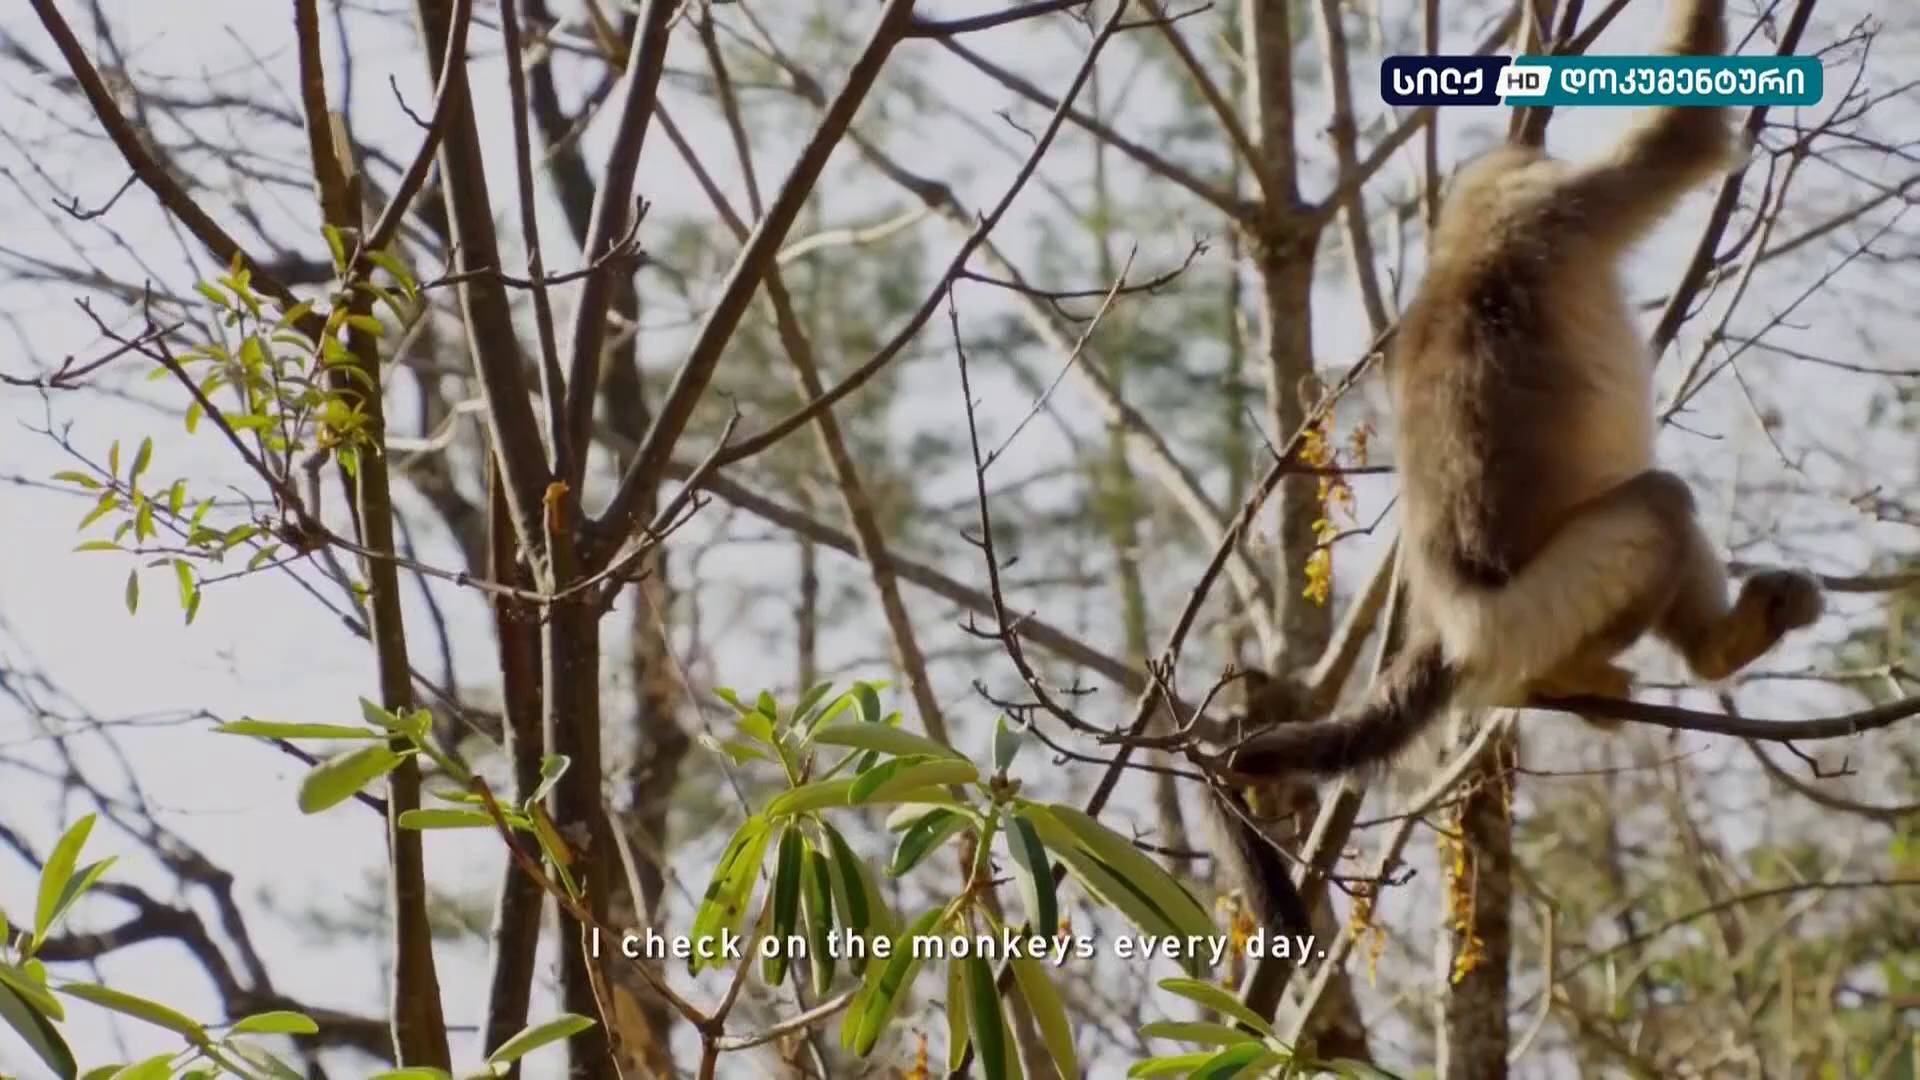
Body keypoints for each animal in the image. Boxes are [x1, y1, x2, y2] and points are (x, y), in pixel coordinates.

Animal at [1204, 0, 1823, 970]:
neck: (1469, 248)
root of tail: (1448, 629)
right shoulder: (1555, 209)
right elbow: (1680, 134)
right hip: (1538, 605)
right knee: (1660, 504)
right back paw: (1695, 654)